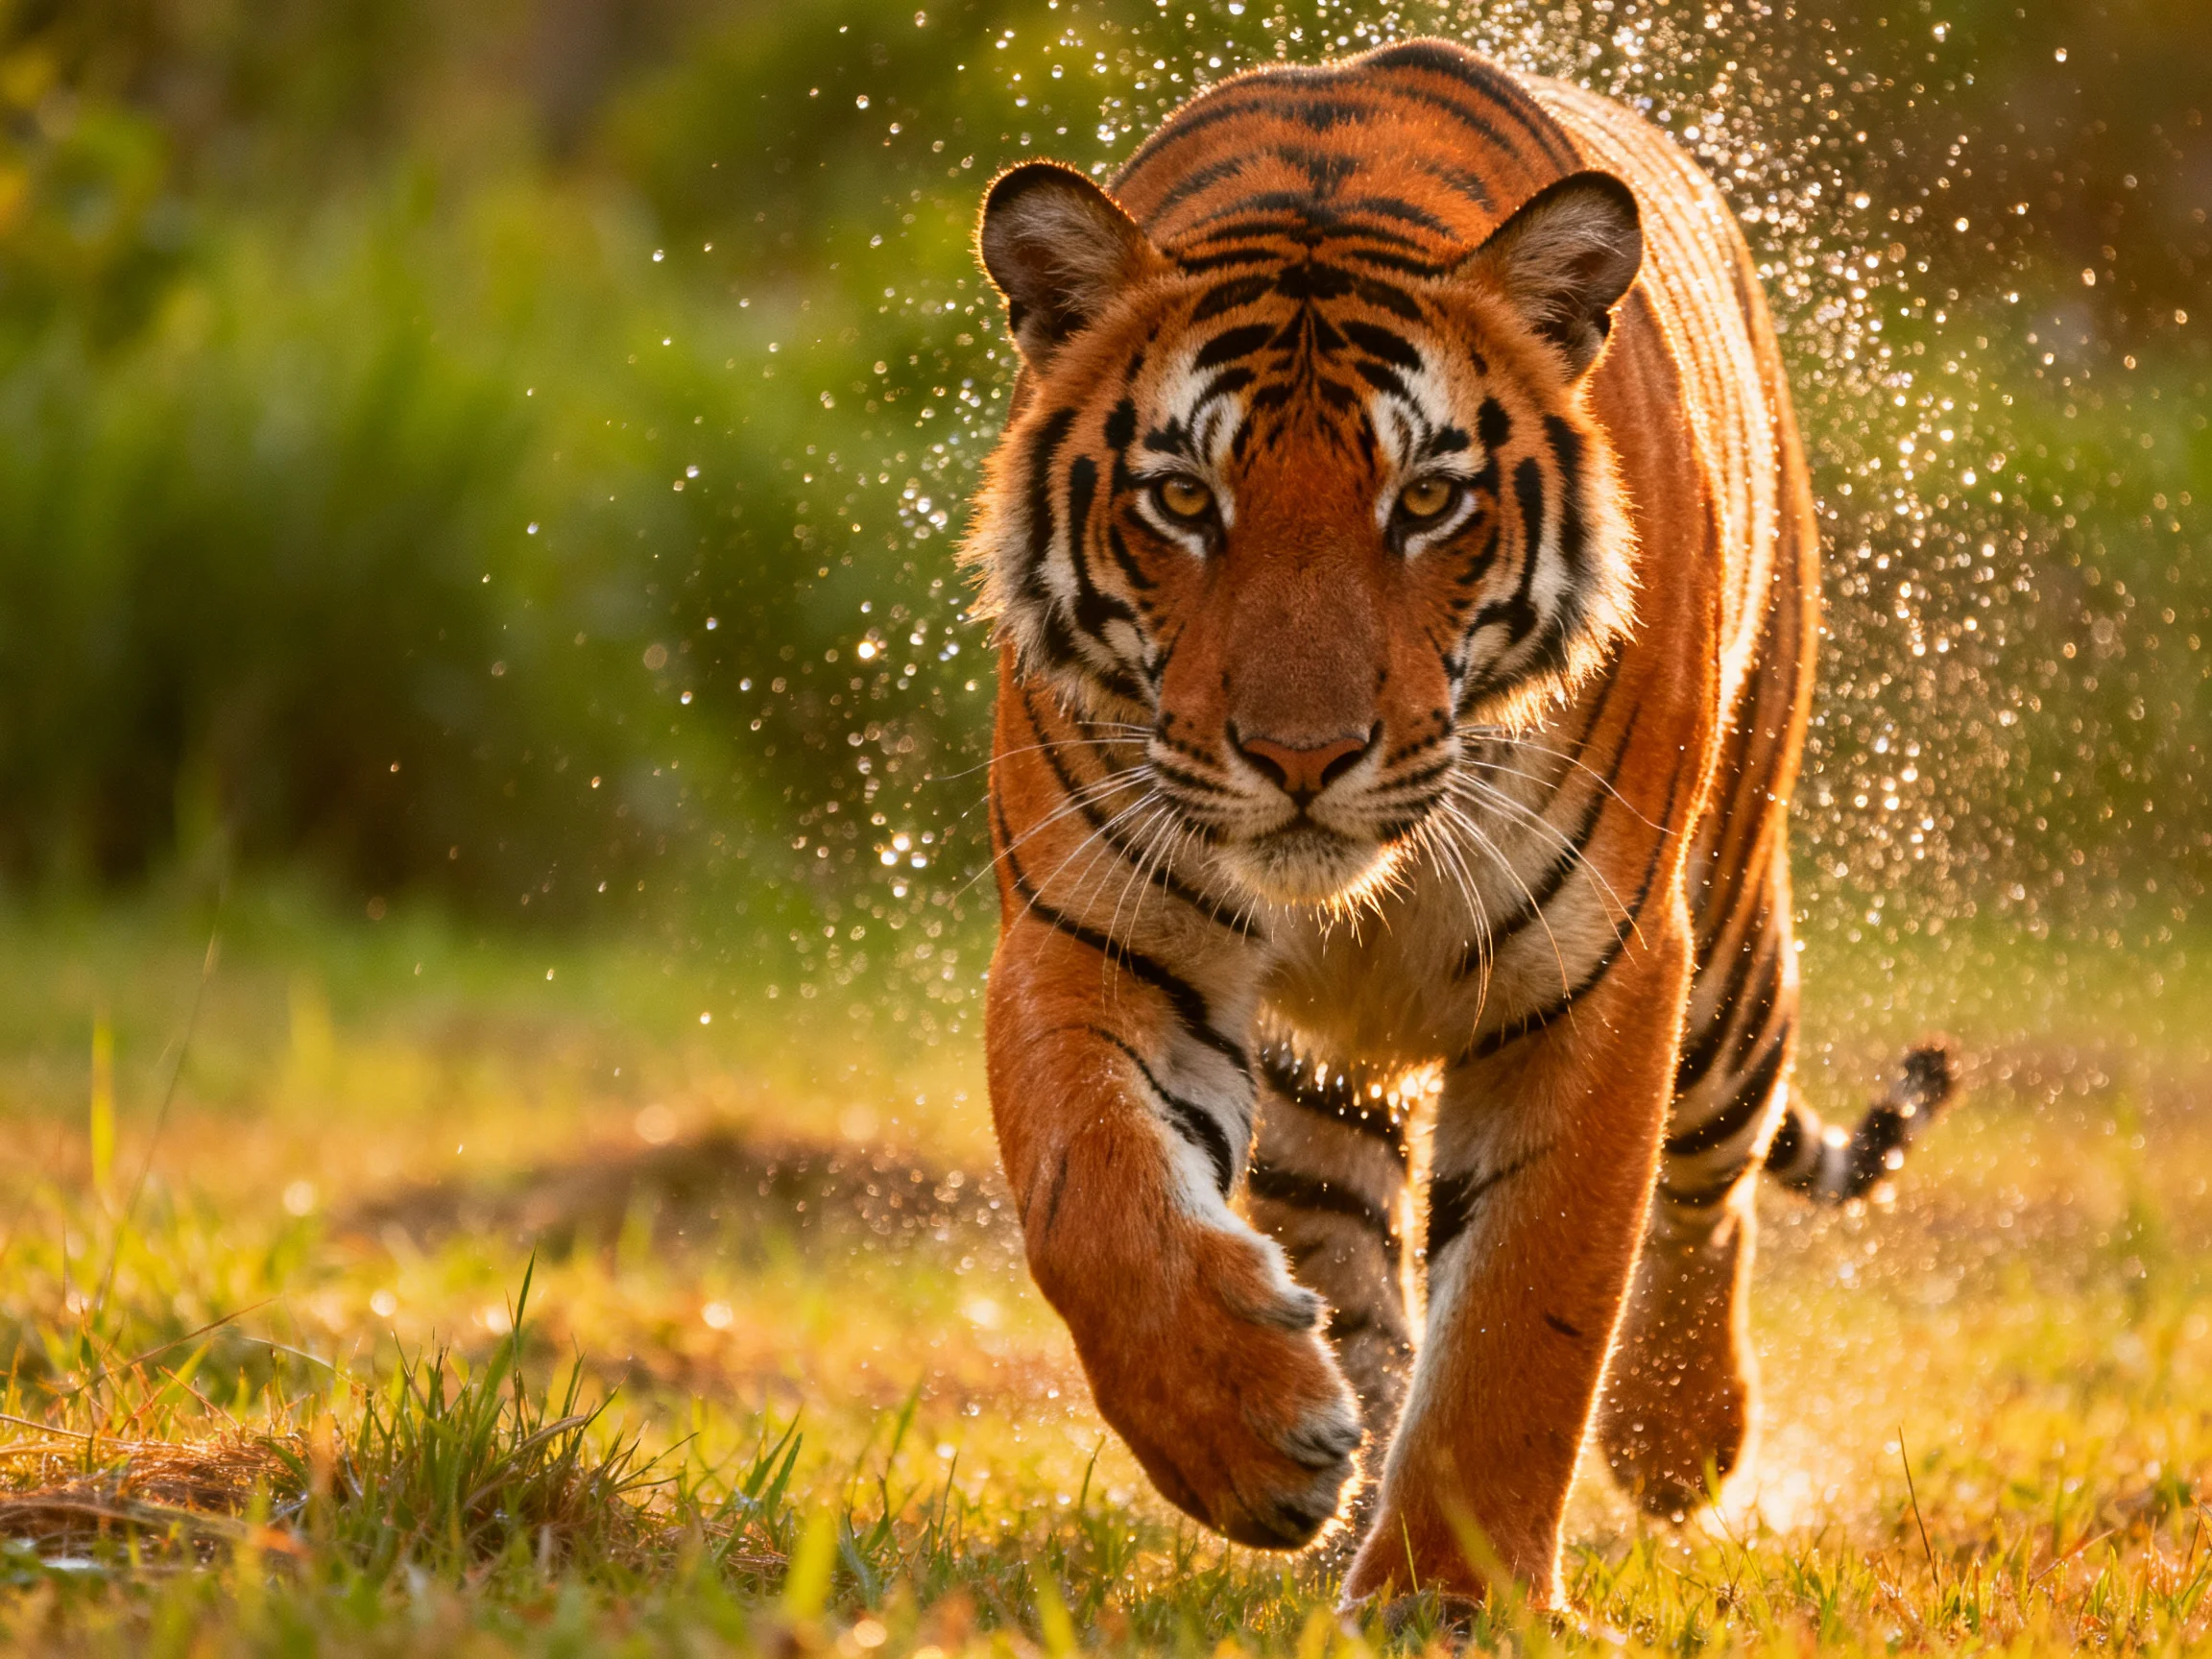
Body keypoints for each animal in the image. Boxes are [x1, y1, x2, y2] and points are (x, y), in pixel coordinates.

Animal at [963, 38, 1953, 1610]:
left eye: (1427, 499)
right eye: (1183, 498)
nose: (1301, 757)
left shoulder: (1599, 973)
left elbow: (1528, 1316)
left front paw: (1449, 1600)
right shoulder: (1095, 925)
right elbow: (1094, 1198)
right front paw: (1252, 1437)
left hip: (1730, 960)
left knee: (1712, 1179)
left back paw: (1683, 1442)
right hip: (1324, 1078)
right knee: (1356, 1251)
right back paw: (1340, 1468)